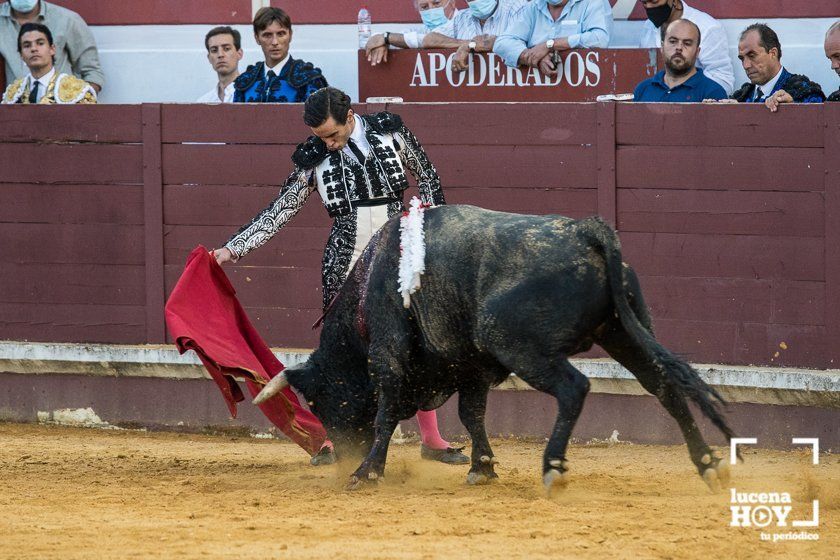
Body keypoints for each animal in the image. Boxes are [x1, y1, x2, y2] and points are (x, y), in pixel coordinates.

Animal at [256, 205, 736, 490]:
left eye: (320, 402)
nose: (342, 459)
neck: (372, 280)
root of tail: (587, 231)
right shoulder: (469, 364)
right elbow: (472, 414)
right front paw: (481, 467)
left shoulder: (390, 355)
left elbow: (386, 414)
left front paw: (366, 471)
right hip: (624, 332)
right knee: (665, 385)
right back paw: (708, 464)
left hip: (517, 343)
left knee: (575, 388)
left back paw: (553, 467)